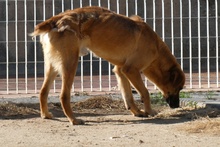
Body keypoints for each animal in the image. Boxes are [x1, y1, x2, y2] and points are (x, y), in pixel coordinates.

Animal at [30, 6, 186, 125]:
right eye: (179, 88)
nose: (177, 106)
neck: (156, 47)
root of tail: (57, 19)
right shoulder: (131, 70)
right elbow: (145, 93)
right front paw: (149, 111)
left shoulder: (121, 71)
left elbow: (128, 96)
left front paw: (137, 112)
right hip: (70, 64)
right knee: (63, 96)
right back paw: (74, 120)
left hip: (52, 67)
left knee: (43, 91)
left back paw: (46, 115)